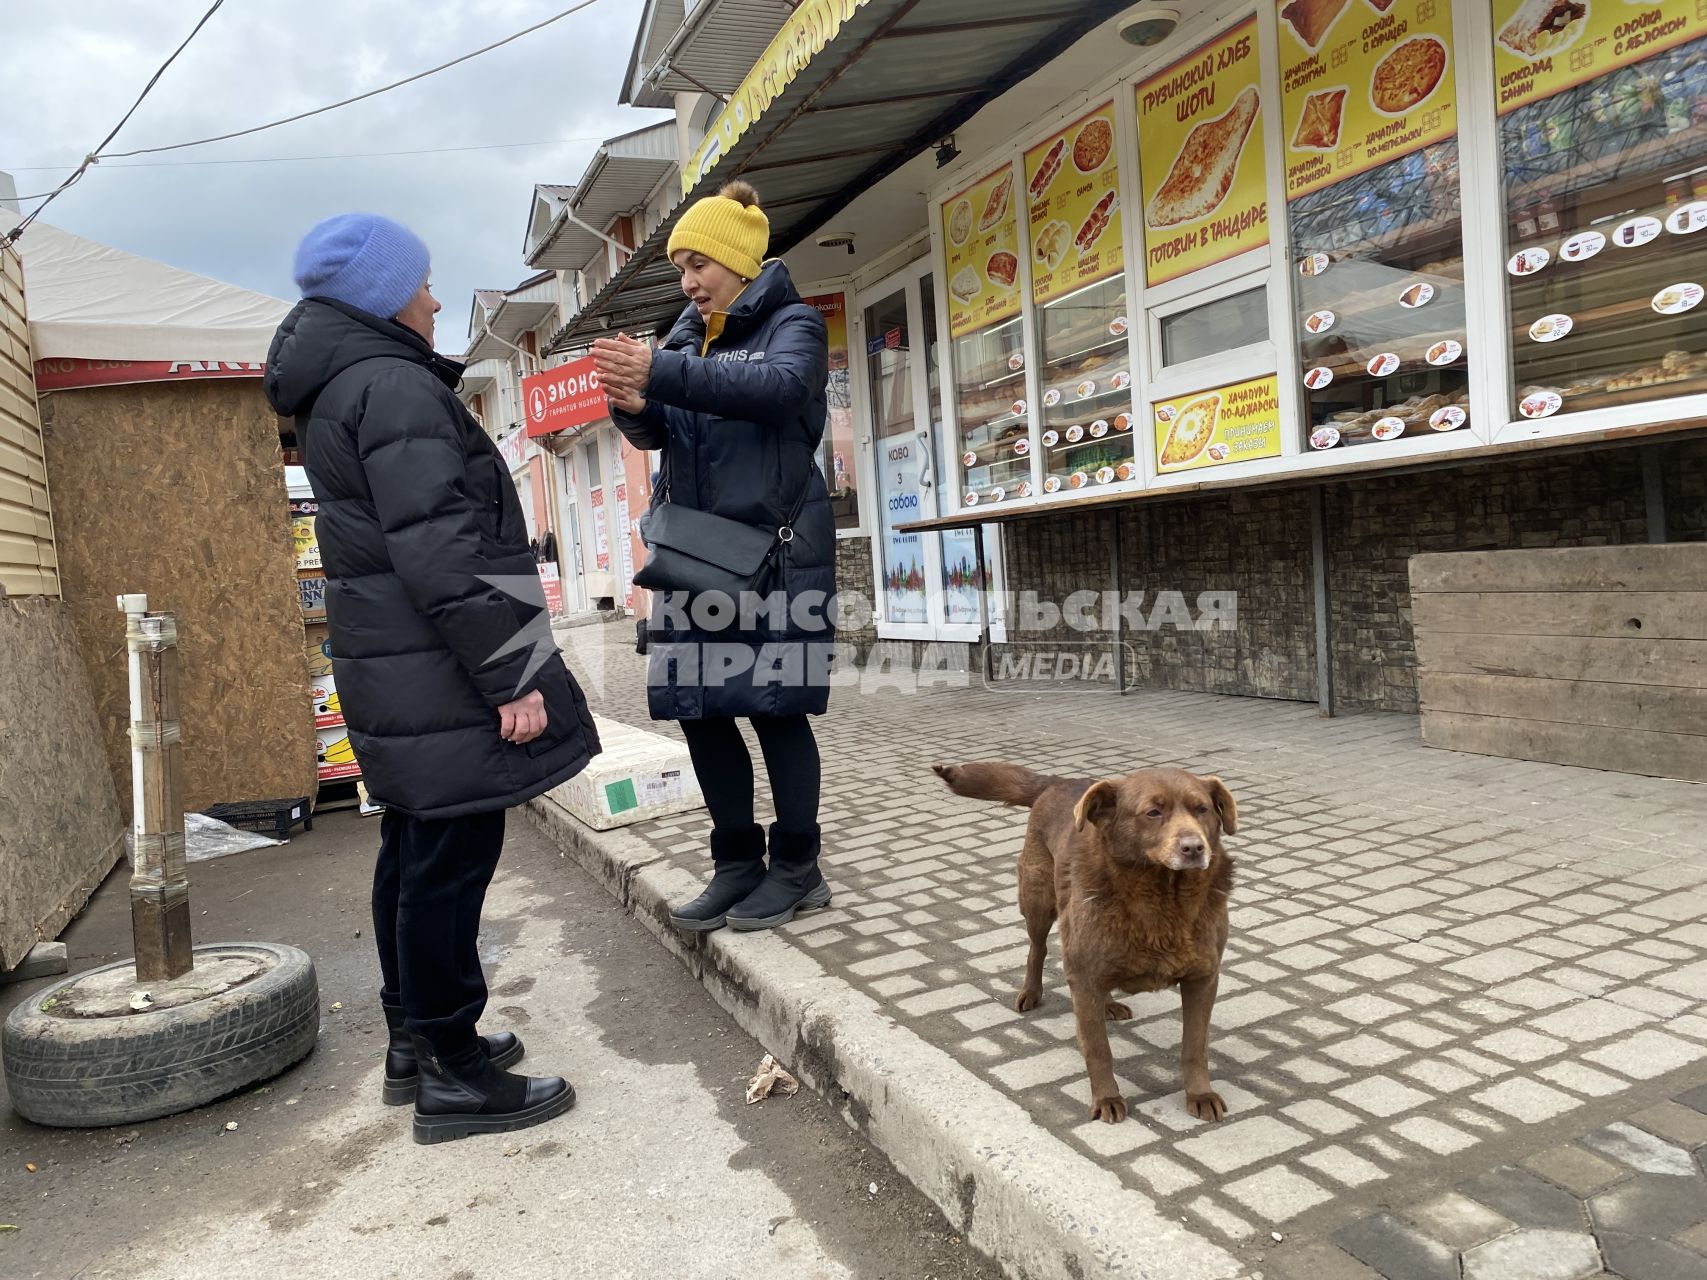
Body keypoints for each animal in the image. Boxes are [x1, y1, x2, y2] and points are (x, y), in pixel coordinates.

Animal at [935, 761, 1242, 1119]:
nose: (1194, 848)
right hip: (1038, 901)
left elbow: (1195, 1045)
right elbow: (1098, 1048)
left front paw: (1199, 1094)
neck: (1163, 898)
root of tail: (1057, 781)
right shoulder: (1082, 976)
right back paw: (1031, 992)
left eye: (1202, 809)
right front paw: (1107, 1098)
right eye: (1152, 812)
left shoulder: (1202, 978)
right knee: (1037, 950)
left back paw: (1107, 1003)